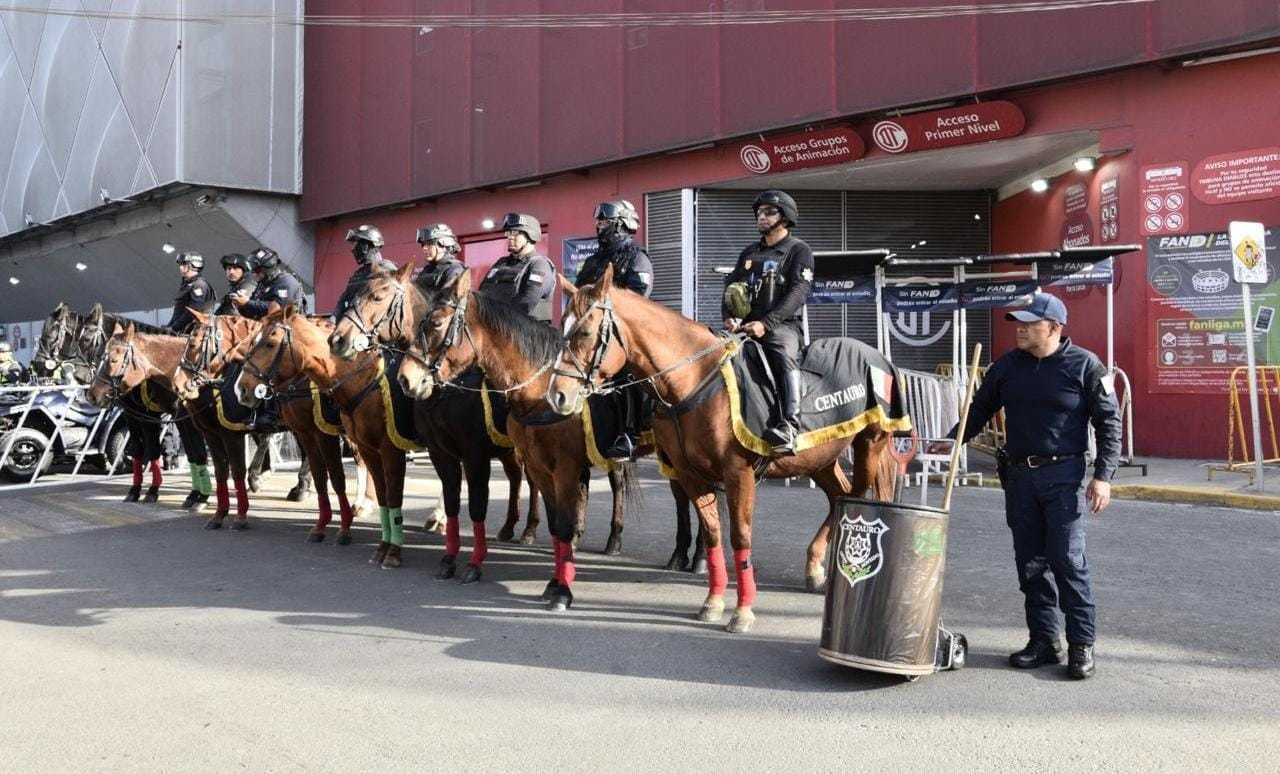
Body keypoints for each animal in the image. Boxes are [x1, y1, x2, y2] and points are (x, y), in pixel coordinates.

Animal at [172, 308, 358, 542]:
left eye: (194, 345)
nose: (177, 384)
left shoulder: (232, 434)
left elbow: (237, 471)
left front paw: (241, 515)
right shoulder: (213, 434)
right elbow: (222, 472)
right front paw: (219, 514)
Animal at [325, 260, 540, 578]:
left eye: (377, 297)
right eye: (350, 296)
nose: (338, 340)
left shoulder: (400, 449)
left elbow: (398, 494)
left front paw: (394, 551)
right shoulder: (377, 447)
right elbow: (389, 494)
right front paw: (384, 546)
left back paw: (528, 528)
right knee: (515, 476)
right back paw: (508, 526)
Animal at [399, 271, 701, 608]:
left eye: (437, 324)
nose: (406, 379)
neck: (538, 391)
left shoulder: (555, 467)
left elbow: (557, 522)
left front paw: (563, 590)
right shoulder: (534, 466)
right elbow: (556, 524)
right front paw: (555, 583)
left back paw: (694, 556)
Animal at [545, 262, 906, 631]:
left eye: (585, 333)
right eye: (563, 329)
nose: (557, 395)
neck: (695, 378)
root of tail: (878, 358)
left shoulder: (738, 474)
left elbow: (740, 537)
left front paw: (743, 609)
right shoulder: (692, 475)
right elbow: (714, 534)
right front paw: (713, 601)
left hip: (869, 446)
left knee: (855, 496)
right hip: (820, 458)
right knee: (838, 497)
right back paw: (815, 566)